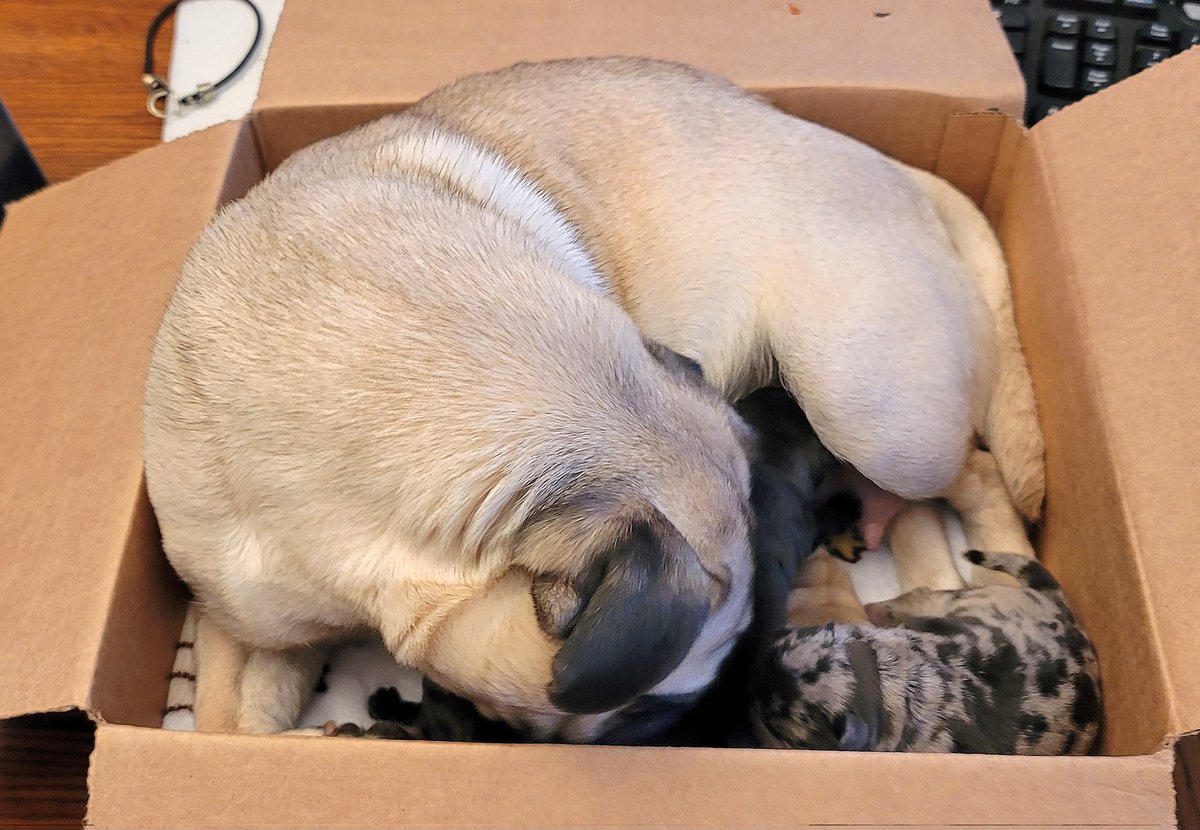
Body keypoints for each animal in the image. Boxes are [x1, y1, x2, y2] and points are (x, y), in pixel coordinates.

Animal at [140, 59, 1041, 743]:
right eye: (644, 704)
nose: (683, 727)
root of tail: (899, 176)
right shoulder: (248, 631)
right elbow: (230, 720)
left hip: (873, 413)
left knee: (974, 472)